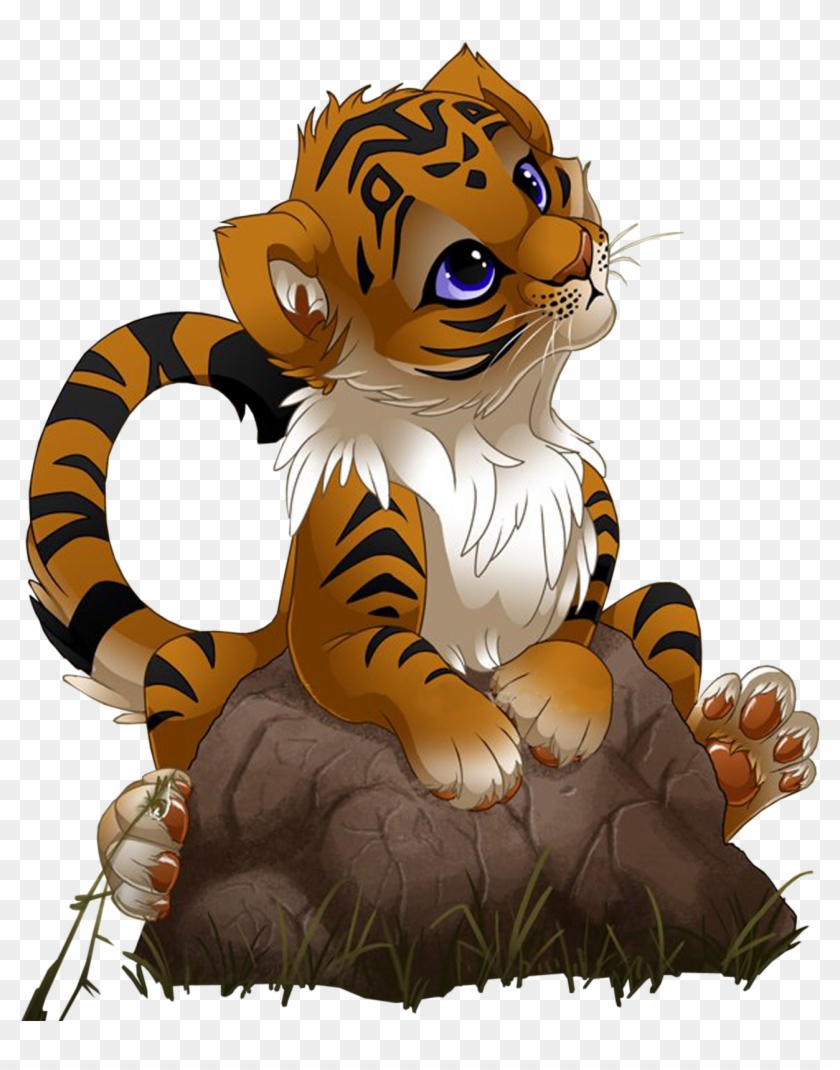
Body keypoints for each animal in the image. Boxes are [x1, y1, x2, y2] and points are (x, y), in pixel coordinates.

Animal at [27, 47, 818, 923]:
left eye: (532, 182)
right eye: (466, 270)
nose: (581, 254)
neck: (498, 425)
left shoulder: (595, 548)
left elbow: (581, 636)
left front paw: (555, 704)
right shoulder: (338, 621)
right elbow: (396, 657)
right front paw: (474, 748)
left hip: (663, 611)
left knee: (671, 626)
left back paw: (748, 748)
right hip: (196, 666)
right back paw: (148, 849)